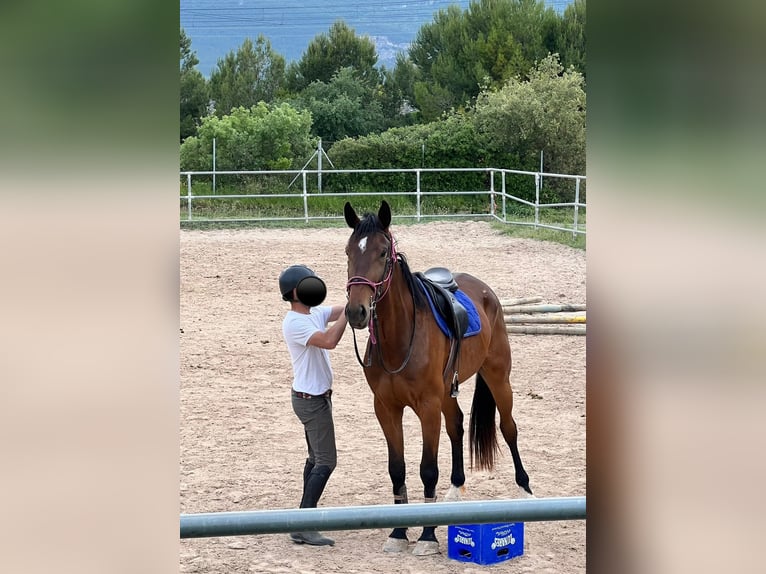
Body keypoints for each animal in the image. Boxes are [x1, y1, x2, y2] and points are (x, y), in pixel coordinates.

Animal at [343, 200, 533, 556]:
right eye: (348, 252)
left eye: (383, 253)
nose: (356, 312)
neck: (400, 339)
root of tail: (484, 291)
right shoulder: (386, 408)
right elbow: (397, 469)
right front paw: (398, 532)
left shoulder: (427, 407)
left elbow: (427, 470)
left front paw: (427, 536)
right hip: (447, 391)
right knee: (456, 425)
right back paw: (456, 488)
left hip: (498, 377)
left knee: (509, 428)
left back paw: (525, 489)